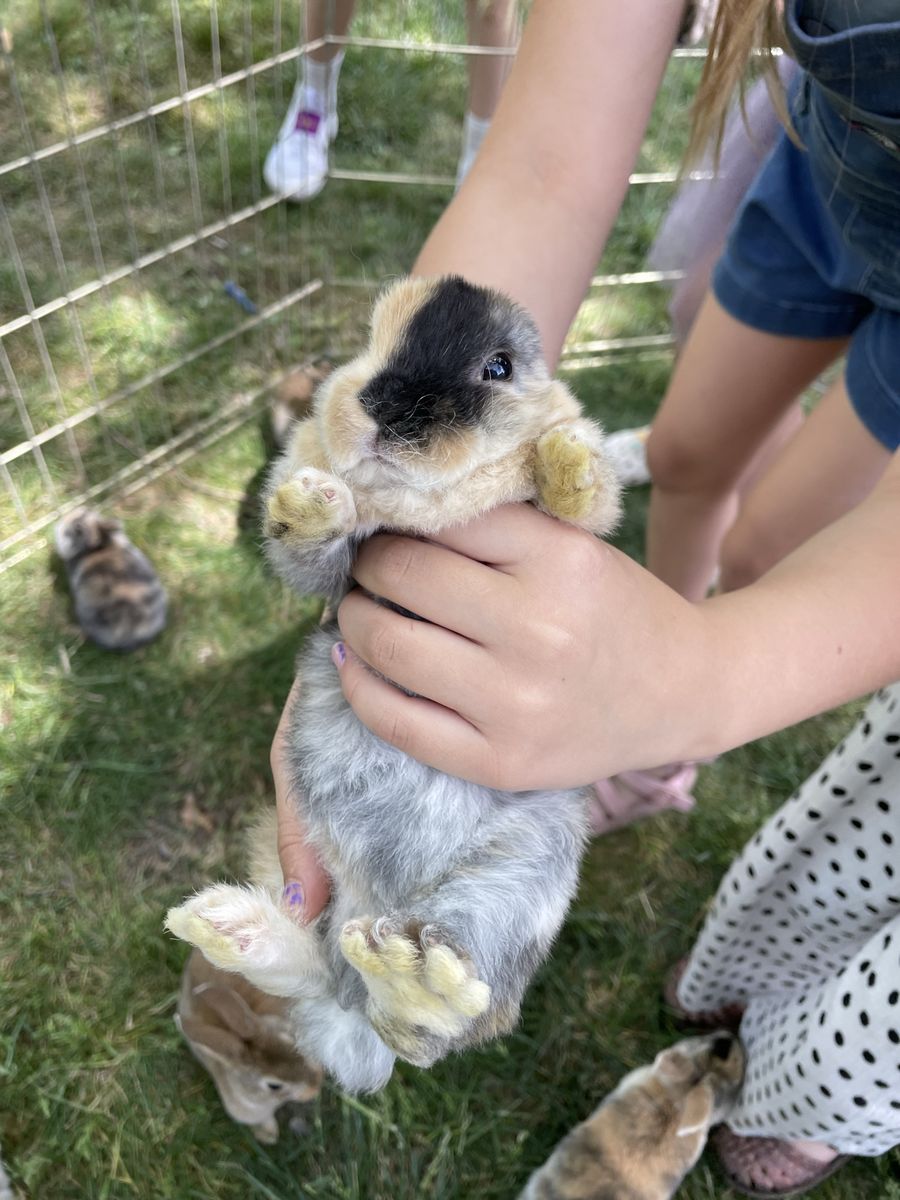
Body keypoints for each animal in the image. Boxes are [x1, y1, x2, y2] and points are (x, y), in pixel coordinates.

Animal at [166, 274, 622, 1094]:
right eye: (371, 339)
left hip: (520, 883)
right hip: (298, 866)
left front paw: (567, 454)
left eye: (499, 367)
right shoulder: (332, 581)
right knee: (326, 971)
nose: (388, 408)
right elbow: (309, 553)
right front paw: (308, 501)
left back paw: (413, 978)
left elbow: (585, 504)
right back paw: (226, 926)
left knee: (444, 1023)